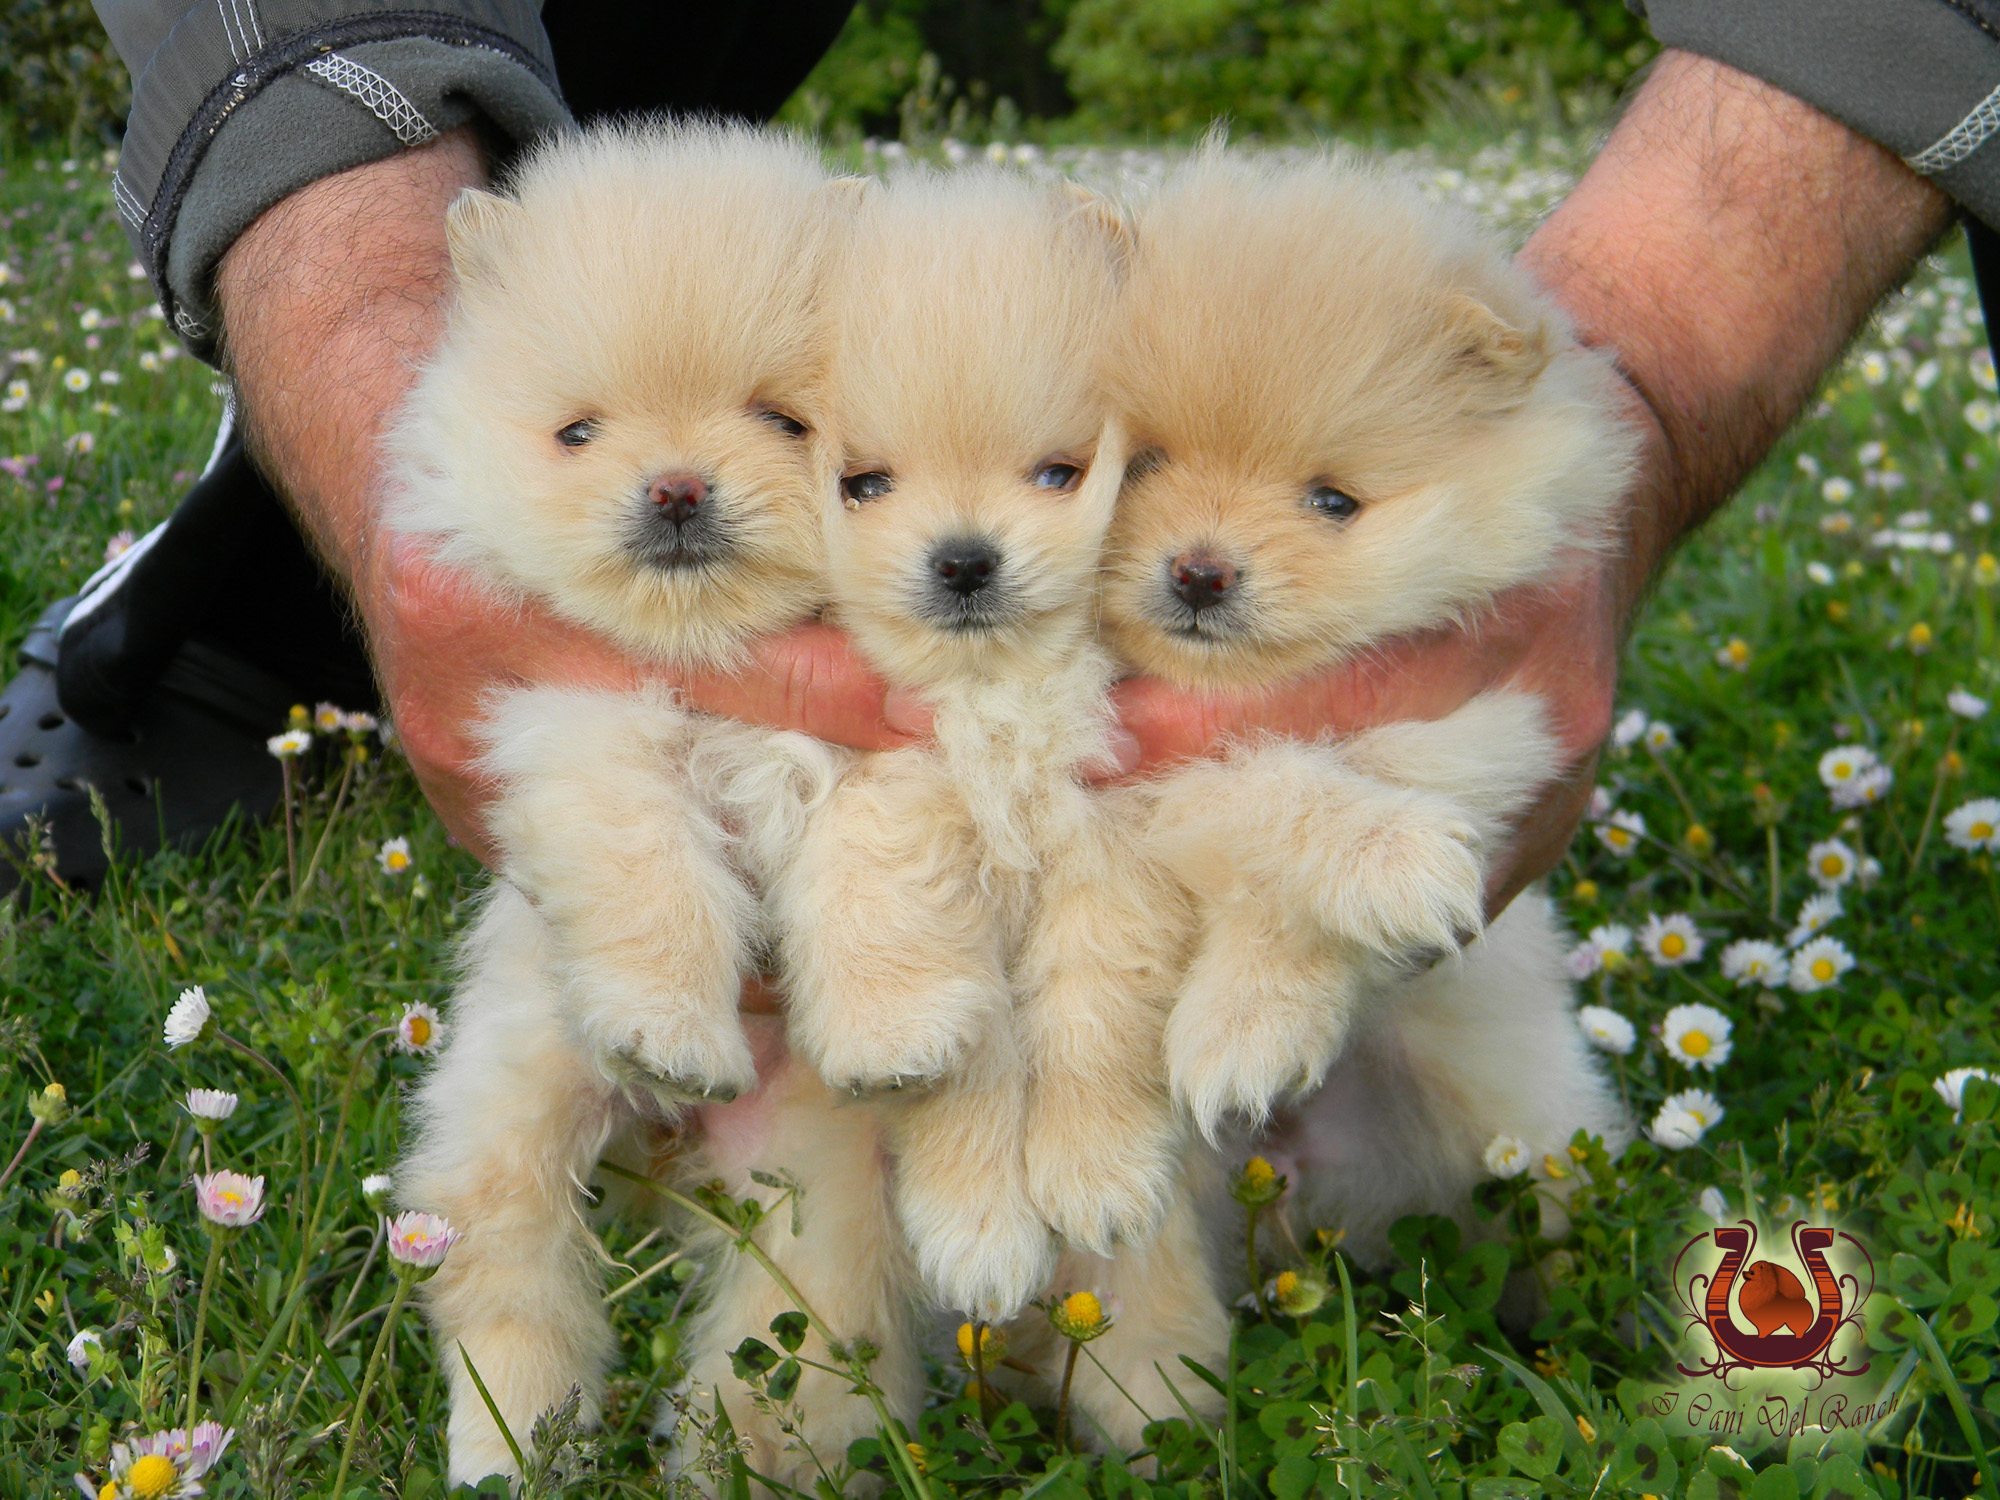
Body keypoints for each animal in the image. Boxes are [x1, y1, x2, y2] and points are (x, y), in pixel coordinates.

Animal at [386, 123, 856, 1488]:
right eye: (578, 434)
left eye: (781, 419)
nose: (679, 489)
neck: (707, 660)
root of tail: (664, 1154)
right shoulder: (575, 728)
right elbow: (652, 872)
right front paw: (669, 1034)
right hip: (508, 1101)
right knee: (509, 1283)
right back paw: (509, 1449)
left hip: (808, 1202)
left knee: (783, 1354)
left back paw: (729, 1466)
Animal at [1096, 147, 1640, 1256]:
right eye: (1142, 464)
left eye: (1333, 502)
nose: (1199, 573)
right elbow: (1262, 790)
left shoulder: (1483, 724)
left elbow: (1297, 855)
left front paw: (1246, 1024)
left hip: (1521, 1118)